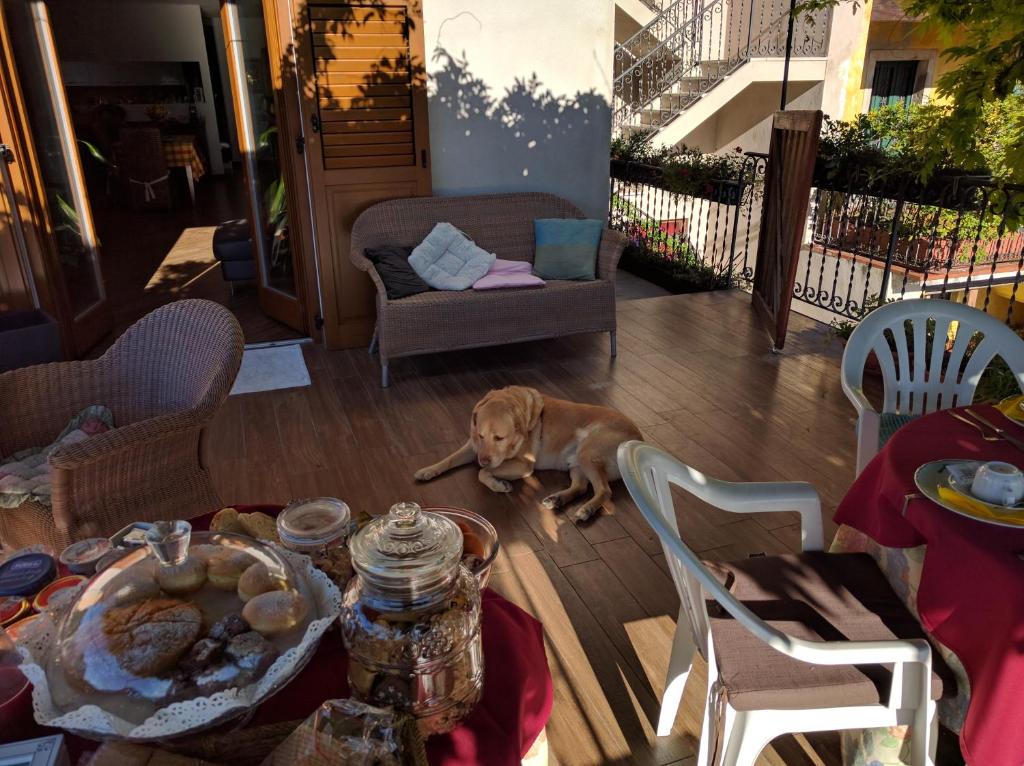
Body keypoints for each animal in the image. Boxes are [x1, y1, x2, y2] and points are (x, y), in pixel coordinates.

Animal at [413, 385, 638, 524]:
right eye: (481, 435)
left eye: (499, 438)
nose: (482, 460)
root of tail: (639, 436)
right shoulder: (473, 445)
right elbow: (449, 459)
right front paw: (428, 470)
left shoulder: (523, 465)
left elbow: (482, 473)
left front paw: (498, 485)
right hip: (576, 464)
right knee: (581, 487)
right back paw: (557, 499)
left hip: (587, 452)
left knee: (604, 491)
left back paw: (586, 510)